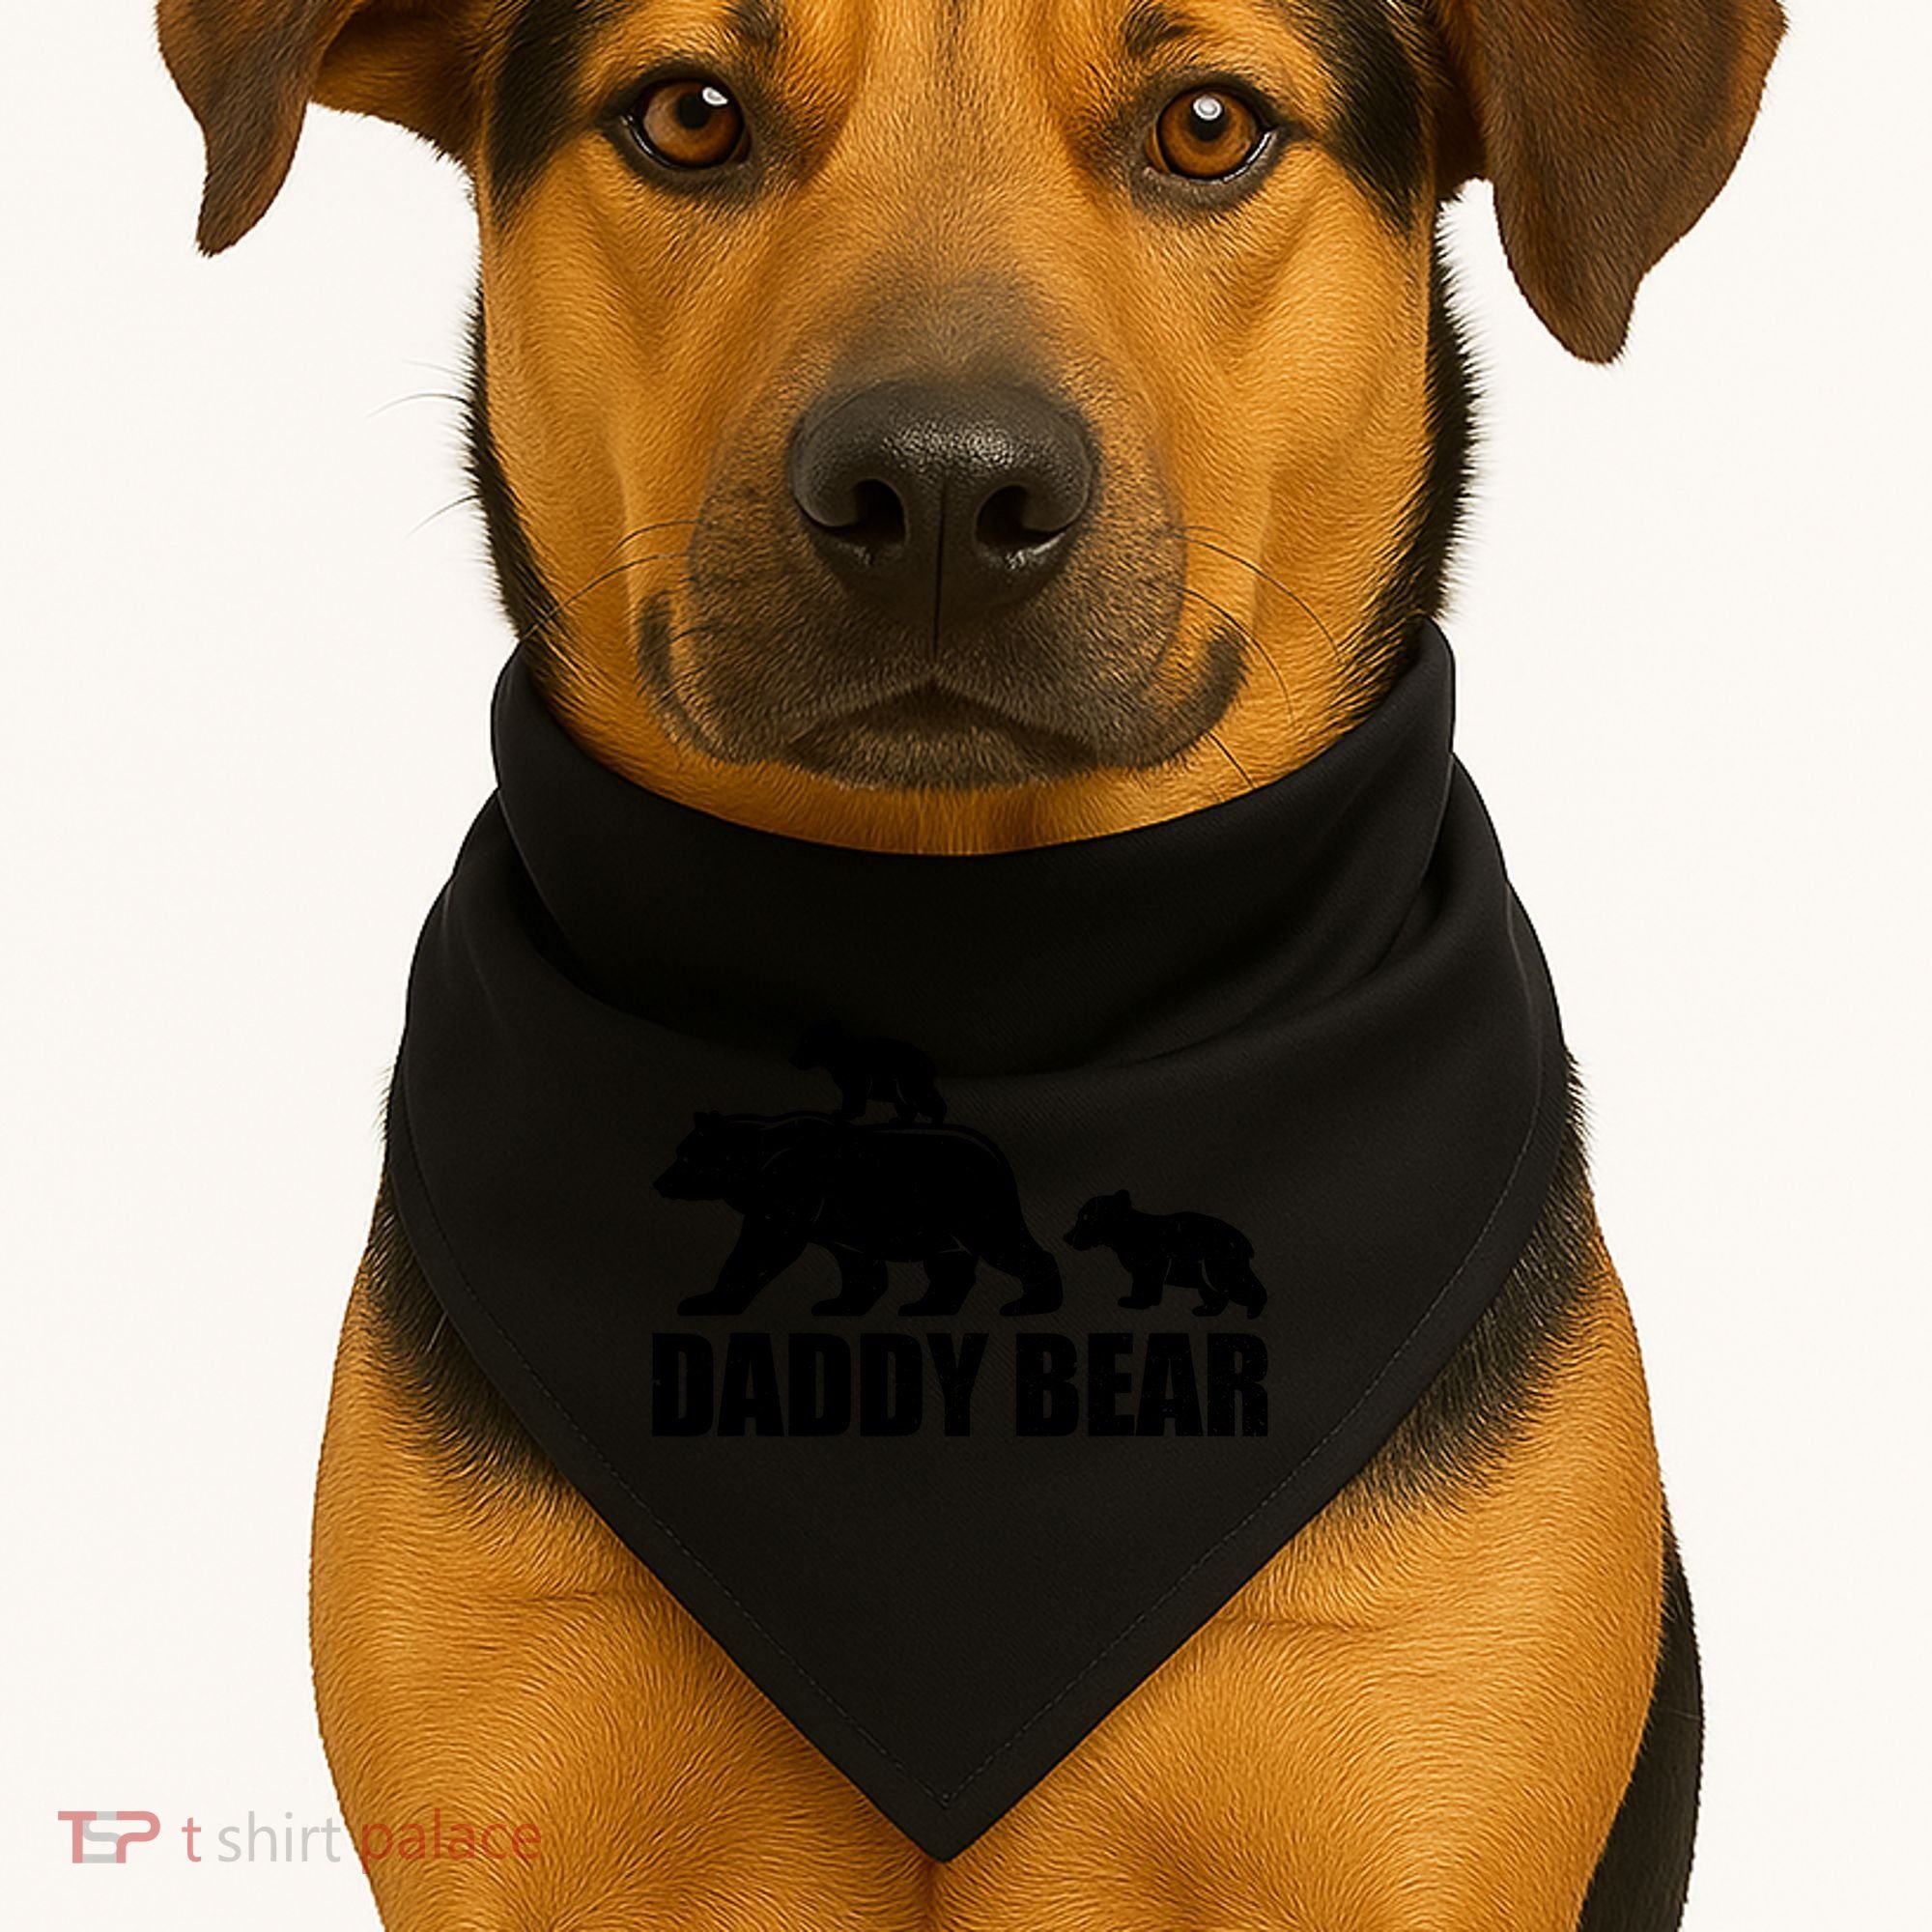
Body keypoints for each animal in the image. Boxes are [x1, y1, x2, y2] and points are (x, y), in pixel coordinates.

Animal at [656, 1111, 1060, 1319]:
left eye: (686, 1157)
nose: (660, 1182)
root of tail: (999, 1156)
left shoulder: (794, 1195)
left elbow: (760, 1249)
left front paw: (705, 1301)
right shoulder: (844, 1223)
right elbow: (859, 1266)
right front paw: (837, 1304)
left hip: (975, 1208)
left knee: (1008, 1247)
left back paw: (1030, 1303)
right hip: (942, 1227)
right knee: (950, 1264)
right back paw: (923, 1306)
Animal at [792, 1020, 947, 1124]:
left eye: (805, 1043)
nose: (791, 1059)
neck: (839, 1054)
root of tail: (928, 1062)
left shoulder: (857, 1085)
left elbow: (855, 1107)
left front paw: (844, 1115)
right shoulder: (849, 1090)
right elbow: (850, 1104)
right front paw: (845, 1114)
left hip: (911, 1090)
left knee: (938, 1105)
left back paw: (936, 1123)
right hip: (902, 1097)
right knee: (914, 1111)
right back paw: (900, 1121)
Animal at [1065, 1189, 1266, 1319]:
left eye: (1086, 1218)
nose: (1066, 1237)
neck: (1123, 1234)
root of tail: (1243, 1240)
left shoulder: (1154, 1262)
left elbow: (1148, 1283)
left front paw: (1140, 1303)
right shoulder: (1140, 1267)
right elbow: (1139, 1284)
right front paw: (1137, 1301)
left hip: (1217, 1267)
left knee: (1240, 1288)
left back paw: (1249, 1312)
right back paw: (1206, 1309)